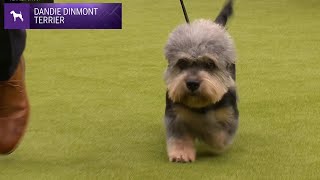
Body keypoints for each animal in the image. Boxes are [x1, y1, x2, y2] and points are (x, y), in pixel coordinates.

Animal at [165, 0, 238, 163]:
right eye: (182, 63)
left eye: (210, 64)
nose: (192, 83)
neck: (200, 105)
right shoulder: (176, 114)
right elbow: (180, 136)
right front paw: (181, 153)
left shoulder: (229, 116)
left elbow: (217, 134)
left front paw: (206, 132)